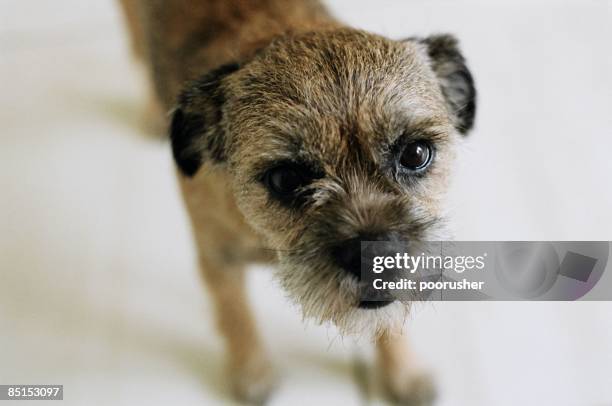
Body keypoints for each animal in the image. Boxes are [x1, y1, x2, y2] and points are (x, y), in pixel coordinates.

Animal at [117, 1, 476, 404]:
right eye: (285, 179)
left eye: (415, 153)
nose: (373, 256)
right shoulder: (218, 259)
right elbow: (235, 314)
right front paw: (252, 370)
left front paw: (403, 372)